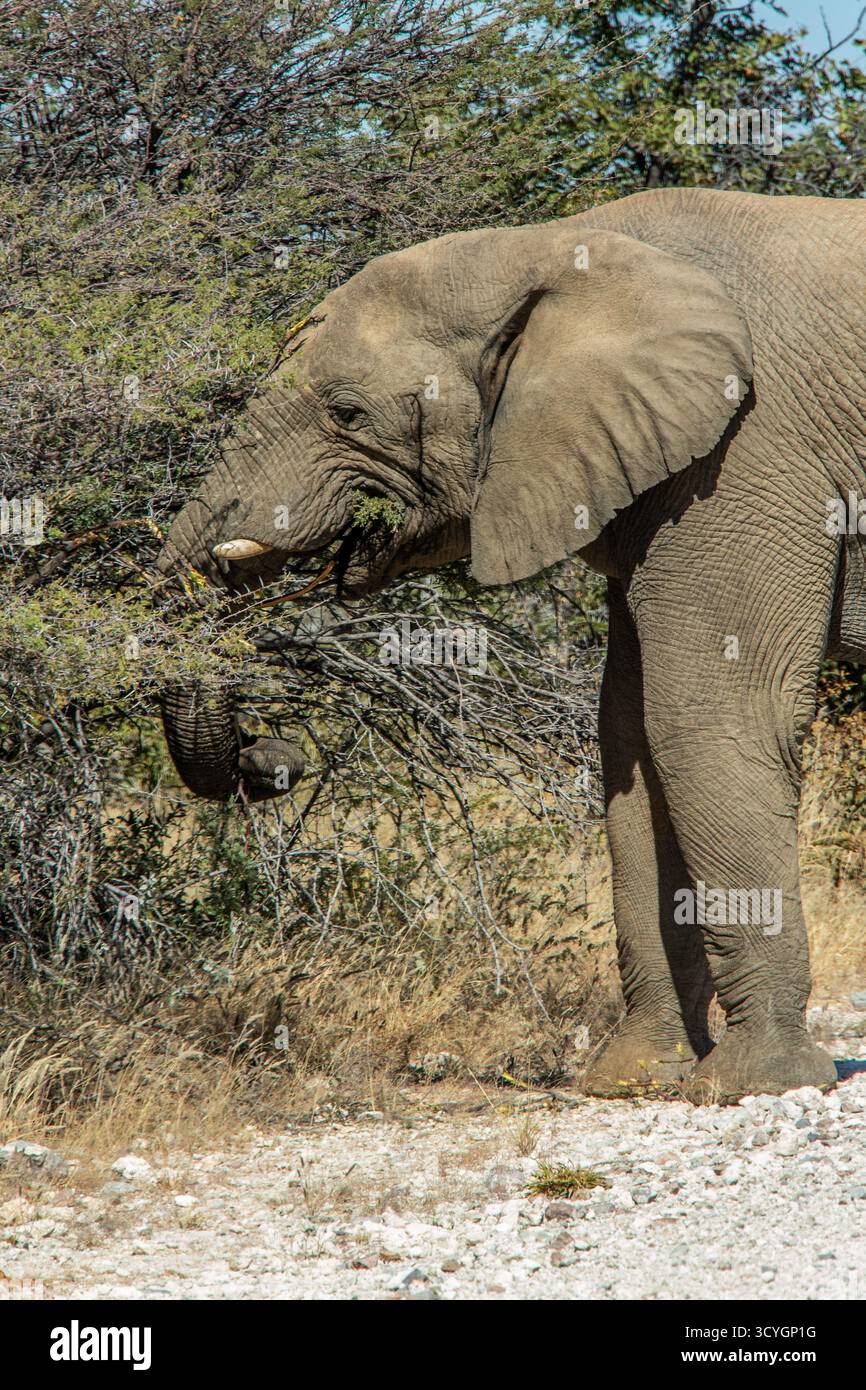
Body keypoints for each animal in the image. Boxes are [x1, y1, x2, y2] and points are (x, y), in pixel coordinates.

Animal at [156, 187, 866, 1103]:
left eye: (346, 412)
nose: (269, 756)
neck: (556, 248)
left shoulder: (746, 453)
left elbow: (706, 721)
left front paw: (756, 1082)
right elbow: (630, 744)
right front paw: (631, 1079)